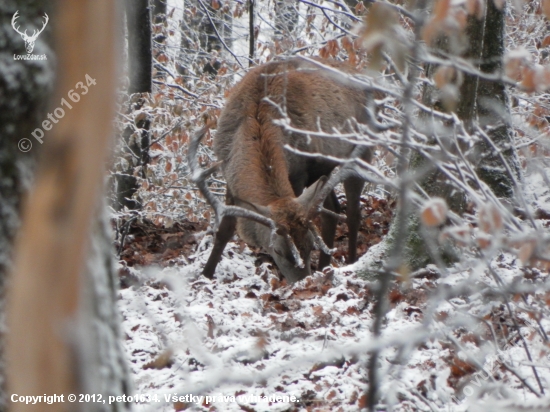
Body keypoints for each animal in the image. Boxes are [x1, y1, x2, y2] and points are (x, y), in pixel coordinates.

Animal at [188, 57, 378, 284]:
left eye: (310, 246)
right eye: (277, 251)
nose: (302, 281)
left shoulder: (298, 174)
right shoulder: (230, 175)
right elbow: (225, 229)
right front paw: (205, 275)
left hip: (362, 150)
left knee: (353, 213)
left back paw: (350, 261)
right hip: (323, 169)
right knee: (332, 210)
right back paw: (325, 267)